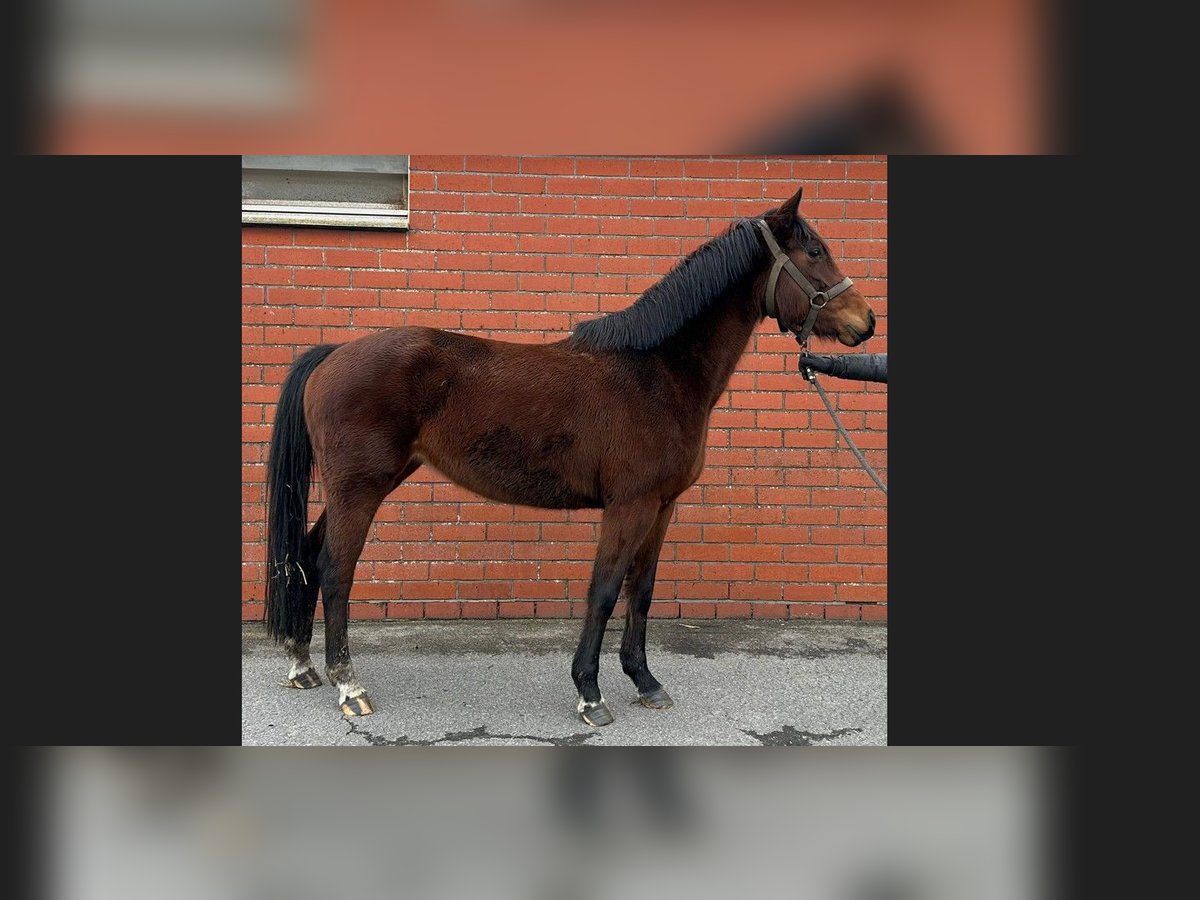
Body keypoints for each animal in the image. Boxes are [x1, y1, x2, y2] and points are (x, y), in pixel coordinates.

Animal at [267, 187, 878, 729]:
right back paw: (349, 685)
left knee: (308, 552)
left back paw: (302, 666)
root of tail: (334, 354)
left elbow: (641, 592)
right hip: (360, 487)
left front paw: (645, 682)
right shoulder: (629, 505)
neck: (658, 371)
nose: (866, 322)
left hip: (365, 483)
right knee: (335, 568)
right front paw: (590, 693)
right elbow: (604, 591)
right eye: (815, 252)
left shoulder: (662, 508)